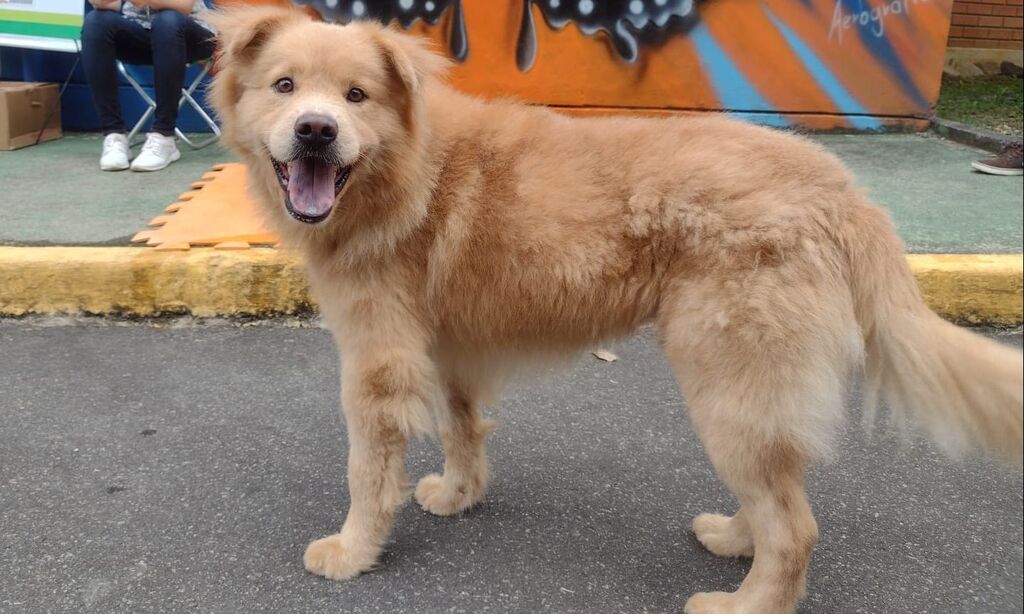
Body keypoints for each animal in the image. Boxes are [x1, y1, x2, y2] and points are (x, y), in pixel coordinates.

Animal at [207, 7, 1024, 609]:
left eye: (356, 97)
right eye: (285, 86)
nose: (316, 131)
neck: (406, 170)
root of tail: (840, 188)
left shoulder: (377, 368)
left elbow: (368, 473)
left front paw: (351, 552)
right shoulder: (447, 349)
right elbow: (463, 428)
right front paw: (460, 494)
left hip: (726, 385)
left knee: (796, 527)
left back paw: (744, 603)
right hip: (750, 397)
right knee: (780, 493)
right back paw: (734, 536)